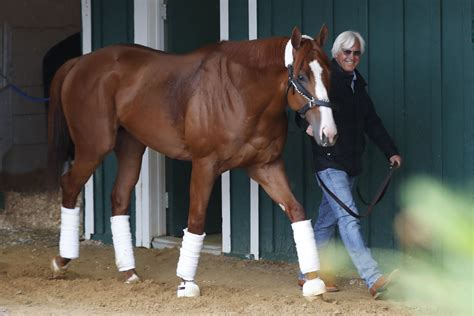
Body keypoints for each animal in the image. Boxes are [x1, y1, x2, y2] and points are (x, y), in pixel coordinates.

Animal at [47, 25, 336, 300]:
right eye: (301, 76)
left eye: (328, 74)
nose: (328, 134)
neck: (240, 91)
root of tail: (79, 62)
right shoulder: (204, 165)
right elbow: (196, 221)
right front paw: (186, 284)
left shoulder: (266, 166)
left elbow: (297, 212)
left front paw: (313, 282)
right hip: (93, 147)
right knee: (69, 185)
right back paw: (62, 261)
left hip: (131, 147)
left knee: (118, 197)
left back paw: (129, 272)